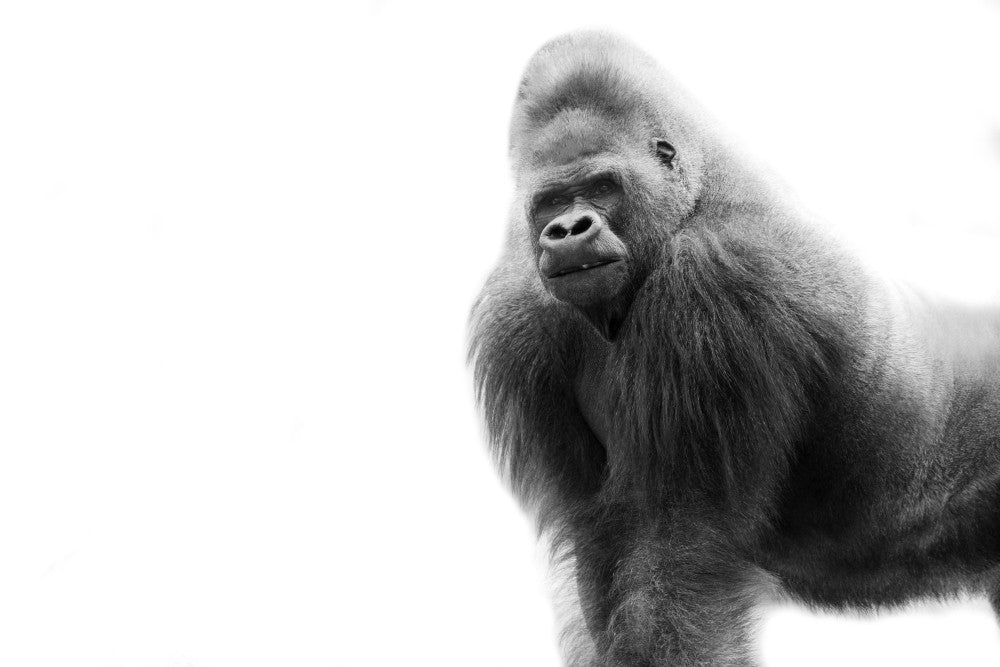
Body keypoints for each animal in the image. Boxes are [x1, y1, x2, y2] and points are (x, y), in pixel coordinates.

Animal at [469, 30, 1000, 666]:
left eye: (602, 187)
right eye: (551, 201)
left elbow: (678, 551)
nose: (570, 230)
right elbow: (601, 553)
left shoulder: (712, 280)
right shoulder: (520, 321)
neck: (691, 200)